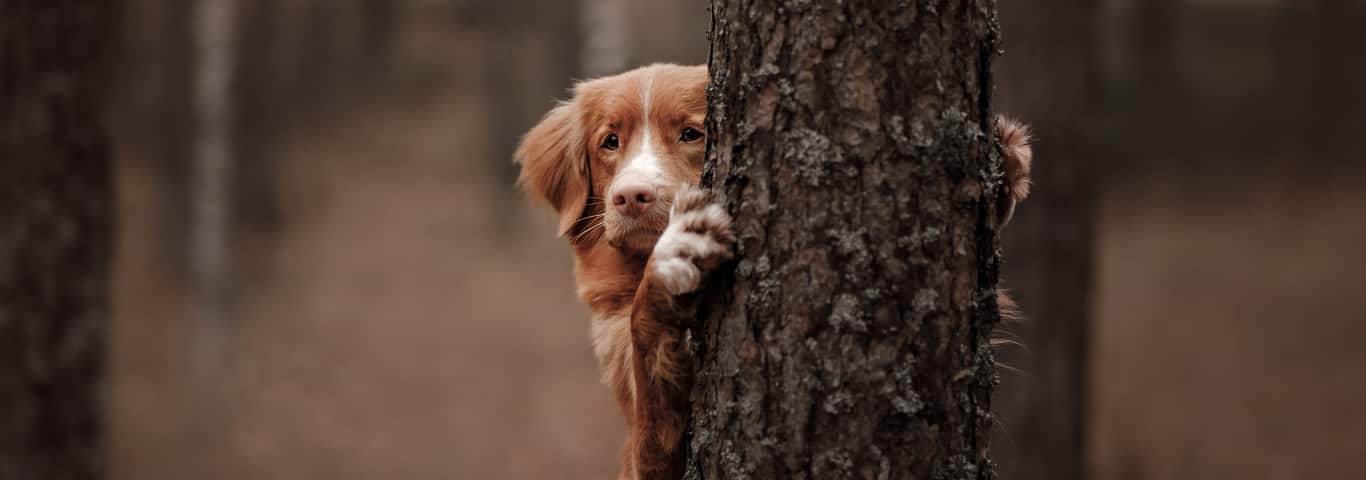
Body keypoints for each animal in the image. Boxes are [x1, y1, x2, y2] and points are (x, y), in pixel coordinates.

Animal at [516, 63, 1027, 480]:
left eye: (691, 134)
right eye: (610, 142)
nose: (631, 196)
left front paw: (1002, 161)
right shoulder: (645, 454)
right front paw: (674, 256)